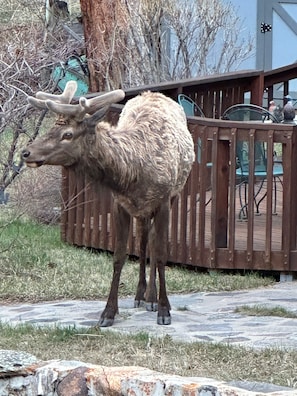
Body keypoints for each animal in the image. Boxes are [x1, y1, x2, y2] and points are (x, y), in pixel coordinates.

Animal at [22, 82, 194, 326]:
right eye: (51, 129)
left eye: (68, 134)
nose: (26, 152)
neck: (133, 174)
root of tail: (154, 94)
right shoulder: (120, 203)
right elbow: (119, 256)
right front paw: (108, 312)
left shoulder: (163, 200)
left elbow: (162, 253)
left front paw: (164, 310)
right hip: (141, 209)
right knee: (144, 239)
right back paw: (142, 295)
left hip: (172, 194)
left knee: (152, 240)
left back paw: (152, 298)